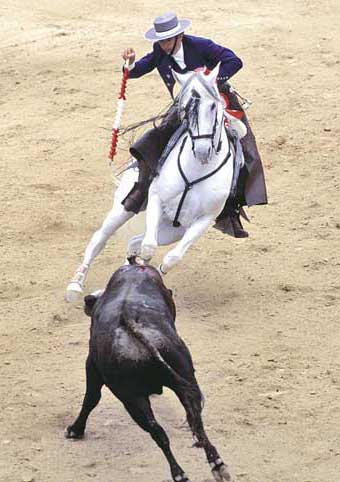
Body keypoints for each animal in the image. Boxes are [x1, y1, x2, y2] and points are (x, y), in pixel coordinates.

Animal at [65, 62, 242, 300]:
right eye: (185, 109)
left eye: (214, 106)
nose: (203, 151)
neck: (196, 171)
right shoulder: (157, 197)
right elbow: (149, 247)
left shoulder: (205, 219)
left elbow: (170, 258)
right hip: (126, 206)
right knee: (100, 238)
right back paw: (75, 284)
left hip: (173, 229)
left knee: (134, 242)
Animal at [66, 264, 231, 482]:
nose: (88, 299)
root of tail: (133, 325)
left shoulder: (91, 364)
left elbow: (90, 399)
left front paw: (75, 430)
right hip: (185, 375)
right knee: (195, 420)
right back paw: (217, 464)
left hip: (131, 398)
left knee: (158, 432)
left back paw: (179, 473)